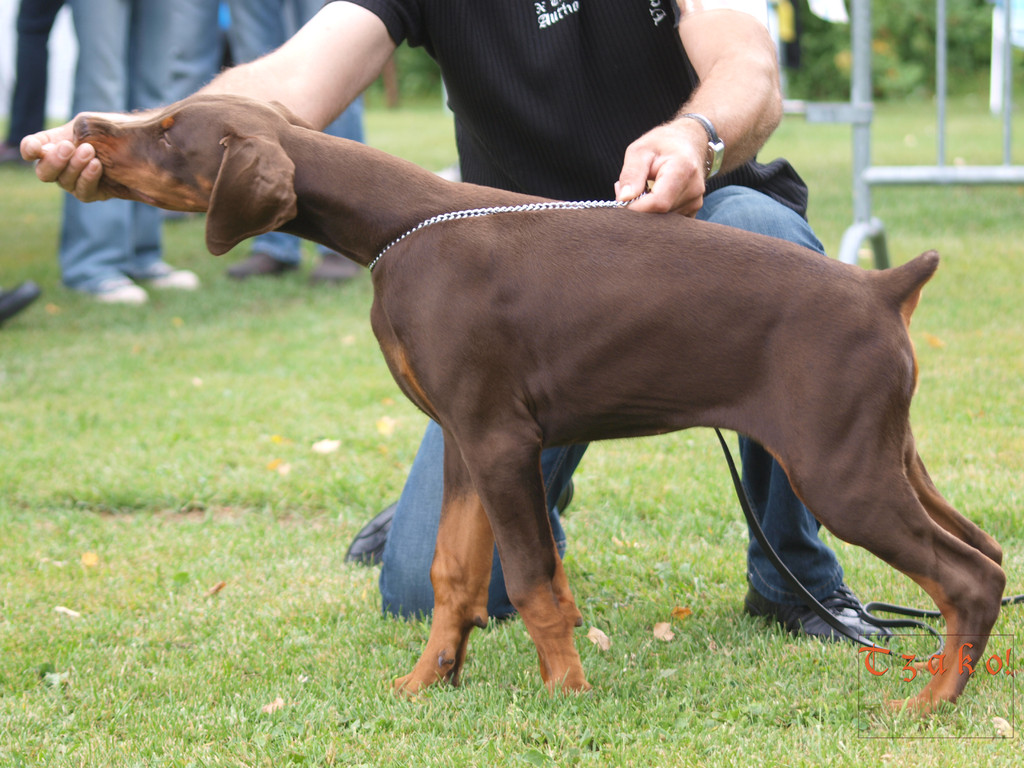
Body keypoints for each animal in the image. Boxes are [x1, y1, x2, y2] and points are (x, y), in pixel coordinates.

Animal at [75, 96, 1003, 716]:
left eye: (167, 129)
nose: (83, 127)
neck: (400, 225)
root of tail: (883, 288)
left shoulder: (498, 440)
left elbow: (529, 580)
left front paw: (566, 692)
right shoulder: (461, 440)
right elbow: (451, 575)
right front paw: (426, 682)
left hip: (839, 468)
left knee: (969, 575)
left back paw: (930, 703)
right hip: (888, 453)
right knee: (987, 555)